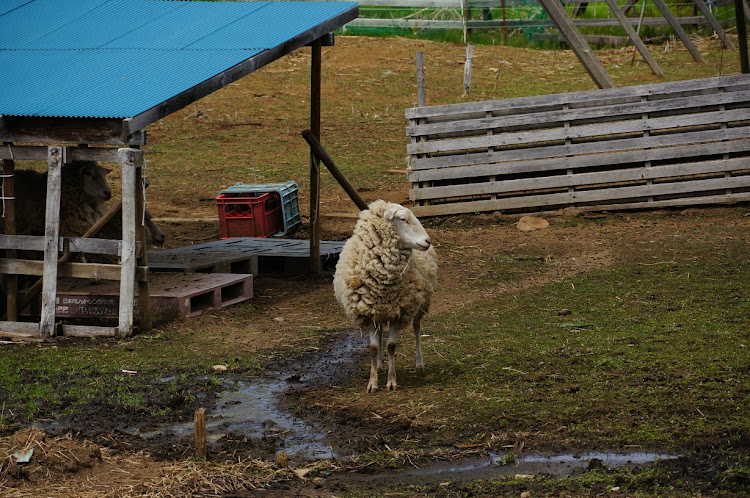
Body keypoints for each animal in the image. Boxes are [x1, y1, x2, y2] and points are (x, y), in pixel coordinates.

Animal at [334, 199, 440, 392]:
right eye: (403, 219)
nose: (427, 241)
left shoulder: (401, 313)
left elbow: (391, 346)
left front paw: (391, 381)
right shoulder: (368, 314)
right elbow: (374, 347)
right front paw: (372, 382)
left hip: (421, 304)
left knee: (417, 328)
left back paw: (419, 363)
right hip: (381, 313)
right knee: (381, 332)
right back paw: (379, 364)